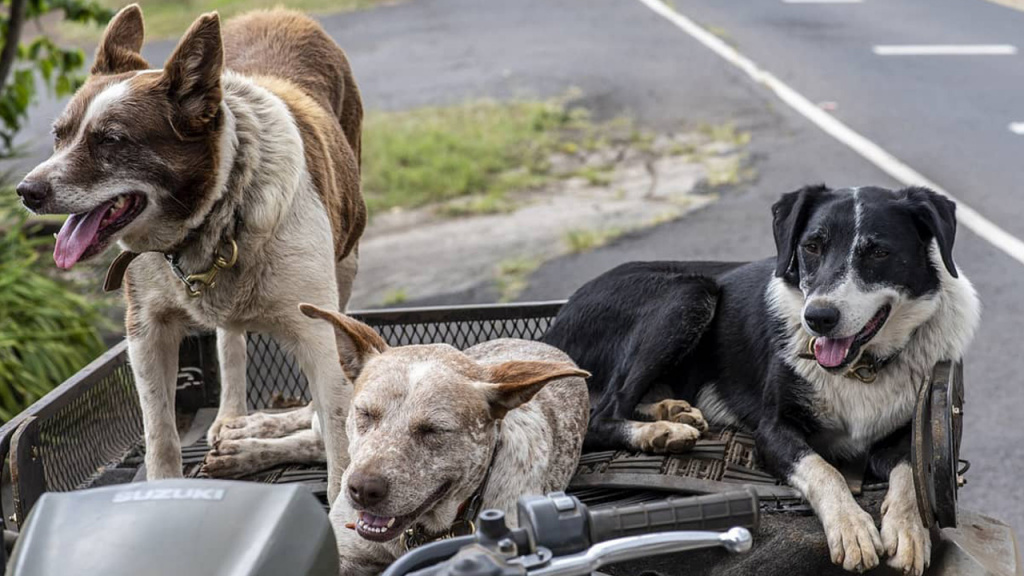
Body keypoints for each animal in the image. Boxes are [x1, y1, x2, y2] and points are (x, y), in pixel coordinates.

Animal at [14, 4, 366, 498]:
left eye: (111, 140)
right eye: (59, 135)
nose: (27, 192)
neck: (214, 215)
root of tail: (280, 13)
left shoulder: (318, 334)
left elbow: (339, 448)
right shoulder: (146, 331)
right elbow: (160, 436)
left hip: (348, 260)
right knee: (230, 340)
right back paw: (233, 421)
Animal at [203, 303, 589, 569]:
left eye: (433, 430)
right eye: (366, 413)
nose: (362, 490)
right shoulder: (344, 552)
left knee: (313, 442)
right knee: (311, 423)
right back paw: (242, 435)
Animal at [544, 186, 983, 569]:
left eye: (878, 251)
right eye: (811, 246)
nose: (817, 318)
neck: (862, 367)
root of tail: (555, 327)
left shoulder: (908, 432)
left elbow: (911, 472)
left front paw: (909, 530)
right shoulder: (772, 431)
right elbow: (824, 470)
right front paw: (852, 528)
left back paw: (672, 413)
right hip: (689, 293)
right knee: (600, 414)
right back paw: (660, 432)